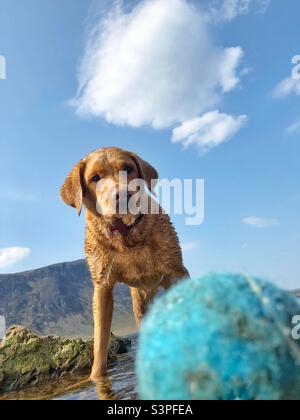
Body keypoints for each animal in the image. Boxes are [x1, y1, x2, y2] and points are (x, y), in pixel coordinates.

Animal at [60, 148, 189, 380]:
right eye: (95, 178)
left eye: (128, 168)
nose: (123, 194)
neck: (126, 234)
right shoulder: (102, 287)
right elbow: (100, 339)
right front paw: (96, 377)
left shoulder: (176, 271)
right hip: (140, 301)